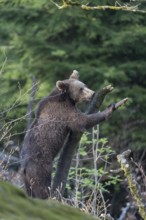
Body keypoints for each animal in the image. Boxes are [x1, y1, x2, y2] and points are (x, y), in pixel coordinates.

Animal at [20, 71, 126, 199]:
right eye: (81, 89)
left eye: (84, 85)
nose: (92, 93)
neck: (67, 98)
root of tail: (24, 167)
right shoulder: (64, 112)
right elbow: (82, 121)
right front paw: (110, 108)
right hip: (40, 167)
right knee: (42, 188)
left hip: (26, 179)